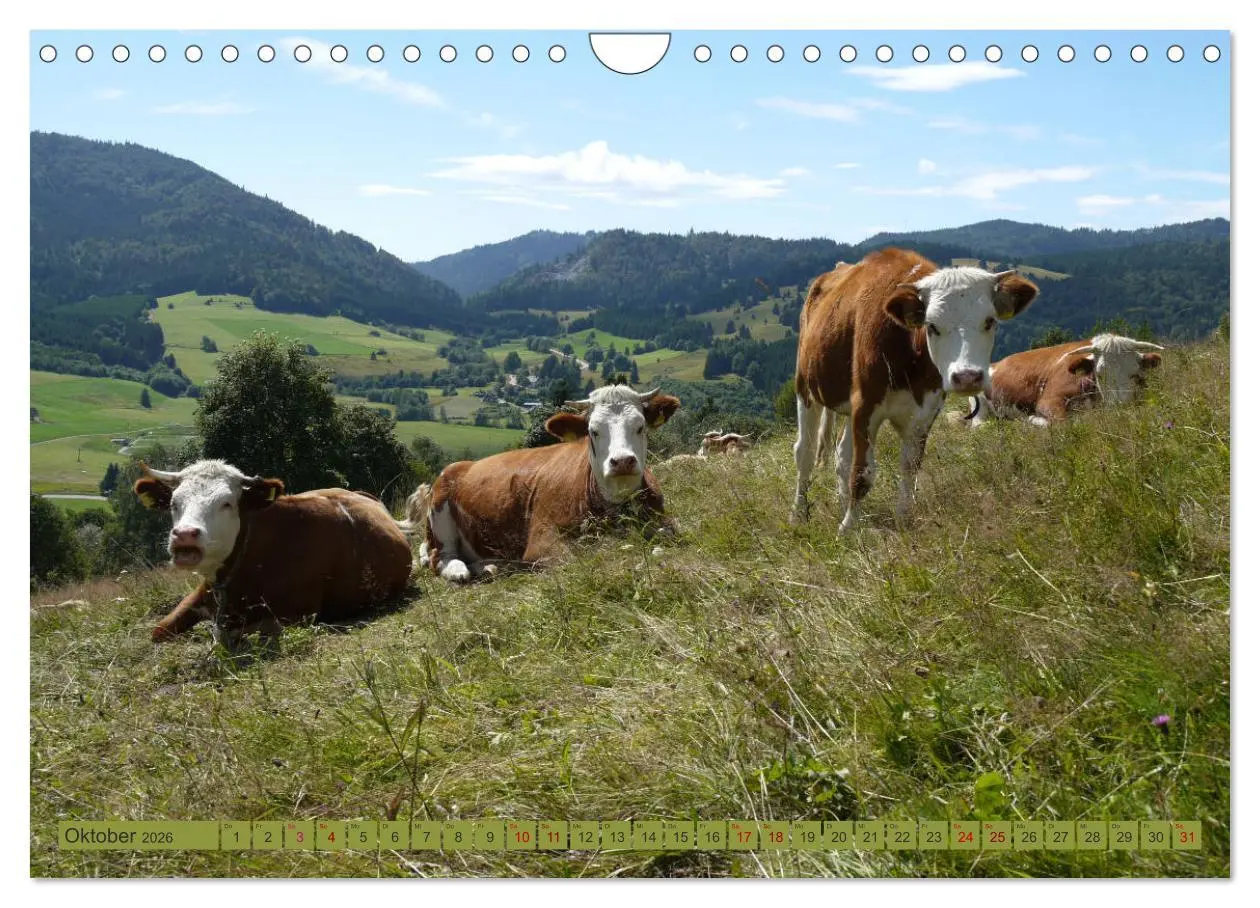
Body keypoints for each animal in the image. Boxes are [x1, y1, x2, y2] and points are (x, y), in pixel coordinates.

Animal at [133, 459, 413, 645]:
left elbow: (234, 632)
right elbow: (158, 630)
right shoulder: (203, 593)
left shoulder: (299, 613)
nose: (184, 535)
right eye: (174, 503)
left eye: (227, 503)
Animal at [409, 384, 681, 582]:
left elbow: (667, 534)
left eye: (640, 426)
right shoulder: (542, 543)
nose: (622, 461)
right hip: (440, 510)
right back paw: (460, 570)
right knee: (440, 556)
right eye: (593, 431)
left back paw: (488, 567)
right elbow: (579, 556)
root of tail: (461, 465)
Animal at [792, 248, 1039, 532]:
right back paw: (797, 514)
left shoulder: (924, 411)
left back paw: (843, 504)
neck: (908, 351)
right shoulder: (866, 404)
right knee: (805, 452)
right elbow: (862, 473)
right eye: (931, 325)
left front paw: (903, 519)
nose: (967, 377)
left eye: (990, 321)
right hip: (806, 388)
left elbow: (910, 466)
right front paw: (848, 529)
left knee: (841, 455)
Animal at [965, 333, 1165, 427]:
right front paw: (1033, 420)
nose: (1120, 407)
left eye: (1135, 374)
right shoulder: (1048, 400)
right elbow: (1064, 423)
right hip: (978, 405)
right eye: (1100, 374)